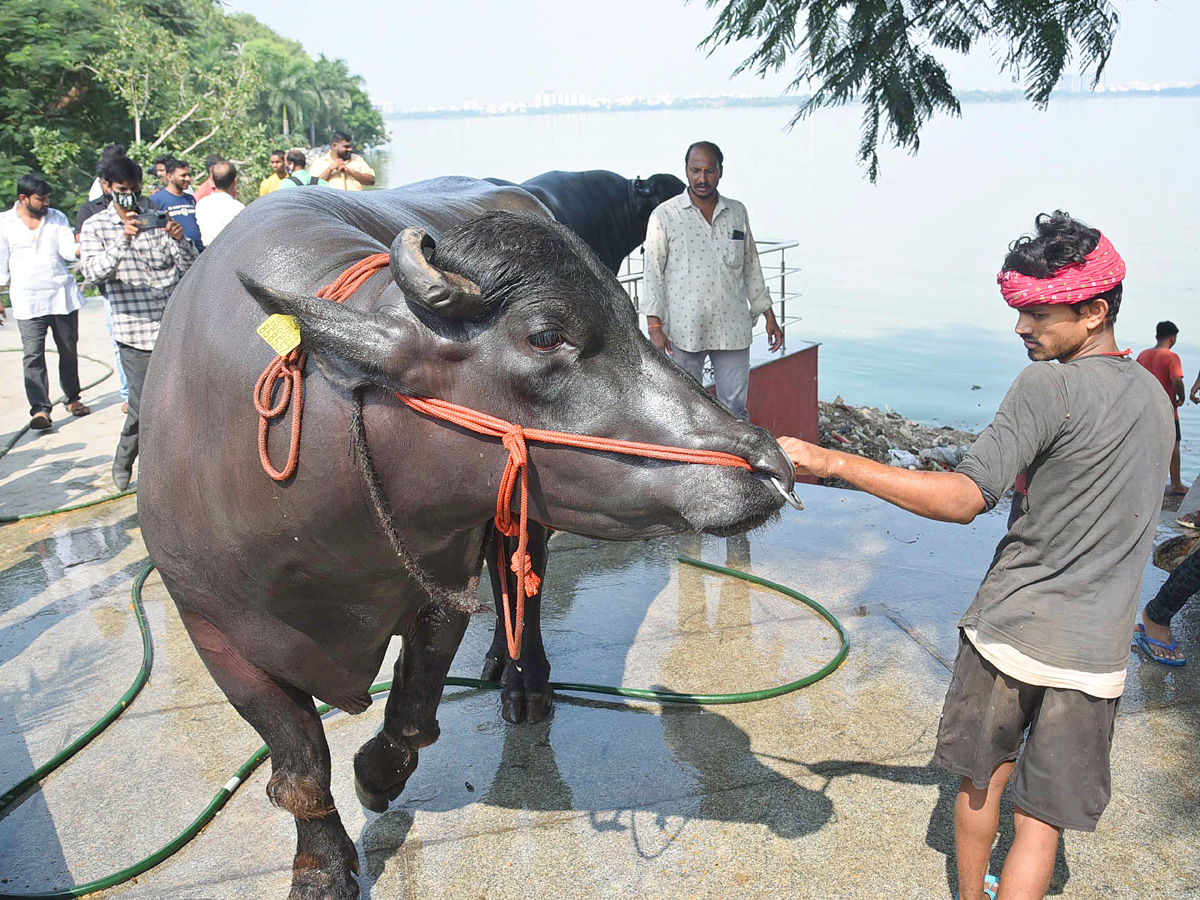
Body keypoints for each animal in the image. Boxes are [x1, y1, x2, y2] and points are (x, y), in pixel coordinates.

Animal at [140, 177, 792, 900]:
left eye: (630, 320)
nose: (769, 463)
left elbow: (411, 714)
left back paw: (524, 685)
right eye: (546, 335)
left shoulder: (442, 586)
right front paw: (321, 867)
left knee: (523, 584)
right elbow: (301, 764)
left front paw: (374, 778)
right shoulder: (214, 630)